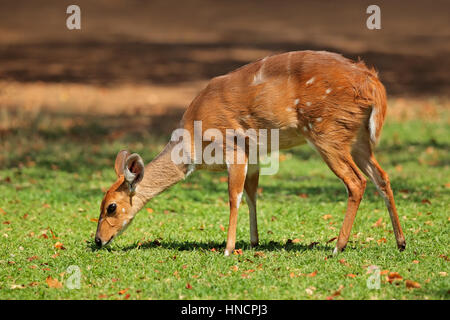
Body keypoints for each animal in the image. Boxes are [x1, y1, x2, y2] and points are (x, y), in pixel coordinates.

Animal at [93, 50, 406, 255]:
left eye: (111, 207)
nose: (97, 240)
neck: (193, 146)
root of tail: (373, 84)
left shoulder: (233, 148)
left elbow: (234, 197)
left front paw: (228, 249)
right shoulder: (255, 153)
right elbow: (253, 193)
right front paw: (254, 241)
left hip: (327, 132)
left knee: (356, 181)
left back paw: (338, 247)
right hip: (359, 137)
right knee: (382, 177)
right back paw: (400, 242)